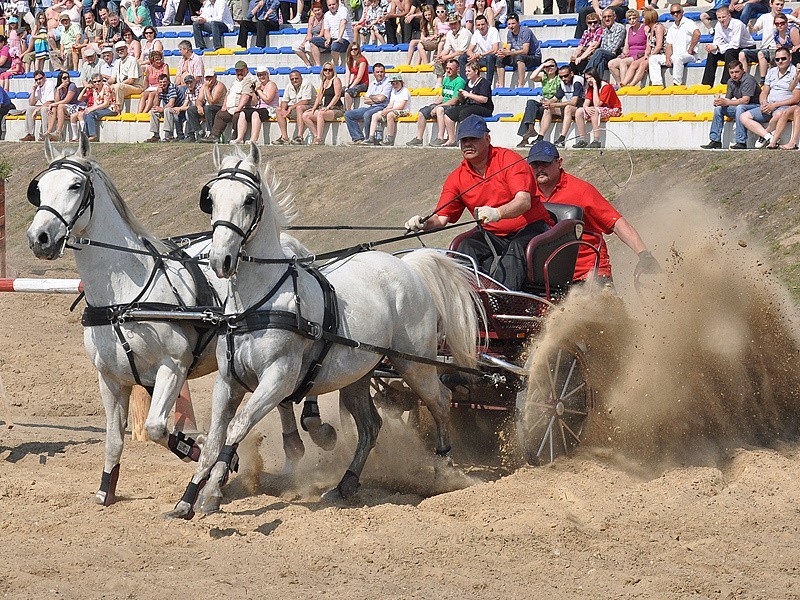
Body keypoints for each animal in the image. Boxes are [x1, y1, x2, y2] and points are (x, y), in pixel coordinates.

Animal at [25, 136, 332, 506]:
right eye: (39, 188)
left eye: (75, 185)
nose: (39, 238)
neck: (123, 297)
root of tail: (288, 246)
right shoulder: (109, 378)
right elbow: (113, 438)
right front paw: (106, 489)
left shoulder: (172, 367)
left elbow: (157, 427)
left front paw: (199, 453)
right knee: (281, 400)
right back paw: (293, 445)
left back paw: (313, 426)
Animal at [166, 143, 484, 516]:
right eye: (211, 198)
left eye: (249, 199)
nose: (221, 260)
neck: (258, 301)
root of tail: (406, 265)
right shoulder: (228, 382)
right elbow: (214, 439)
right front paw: (190, 497)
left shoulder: (278, 379)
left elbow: (238, 426)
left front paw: (212, 492)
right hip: (360, 374)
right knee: (371, 426)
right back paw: (345, 485)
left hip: (414, 364)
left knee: (440, 401)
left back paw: (445, 470)